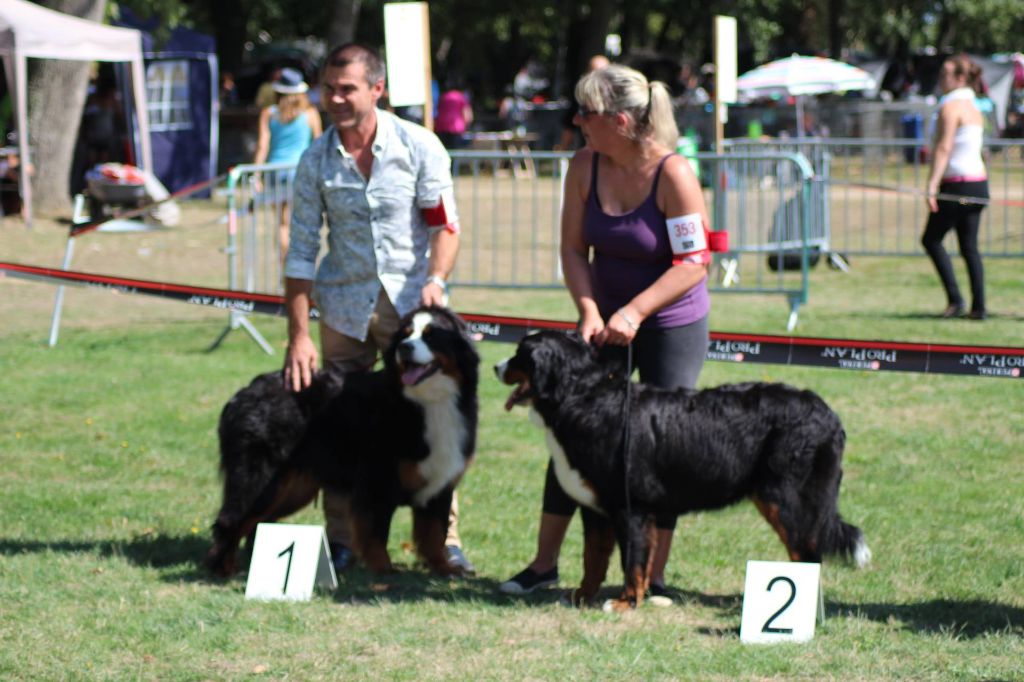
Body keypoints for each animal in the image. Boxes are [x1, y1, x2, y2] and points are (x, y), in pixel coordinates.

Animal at [209, 305, 481, 577]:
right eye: (404, 335)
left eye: (431, 336)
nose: (404, 348)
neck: (429, 402)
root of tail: (246, 391)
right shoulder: (377, 481)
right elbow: (375, 533)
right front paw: (383, 570)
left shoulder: (439, 484)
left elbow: (435, 533)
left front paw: (445, 567)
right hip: (261, 478)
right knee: (231, 518)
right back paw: (223, 567)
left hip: (294, 487)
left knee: (258, 521)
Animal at [495, 329, 872, 610]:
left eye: (519, 355)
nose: (497, 366)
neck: (582, 397)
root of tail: (828, 414)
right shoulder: (597, 508)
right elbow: (594, 557)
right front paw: (583, 596)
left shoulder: (630, 506)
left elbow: (632, 560)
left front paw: (626, 602)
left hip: (784, 500)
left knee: (806, 554)